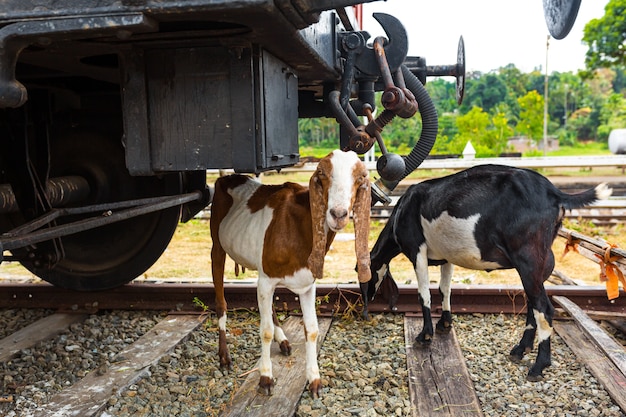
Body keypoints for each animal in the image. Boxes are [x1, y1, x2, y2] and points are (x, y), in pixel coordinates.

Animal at [211, 150, 370, 396]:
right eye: (322, 174)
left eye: (360, 176)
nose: (338, 214)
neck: (298, 226)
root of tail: (227, 177)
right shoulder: (266, 280)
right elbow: (265, 330)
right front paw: (266, 378)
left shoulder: (306, 284)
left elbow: (312, 329)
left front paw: (314, 380)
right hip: (217, 244)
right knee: (221, 301)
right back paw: (225, 358)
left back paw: (283, 340)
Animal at [360, 163, 608, 380]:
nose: (366, 306)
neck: (402, 210)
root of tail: (554, 193)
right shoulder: (446, 257)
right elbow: (444, 289)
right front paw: (444, 324)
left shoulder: (416, 249)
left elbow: (425, 294)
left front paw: (425, 334)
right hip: (541, 264)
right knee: (533, 302)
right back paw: (520, 349)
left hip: (528, 258)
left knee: (544, 309)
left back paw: (538, 367)